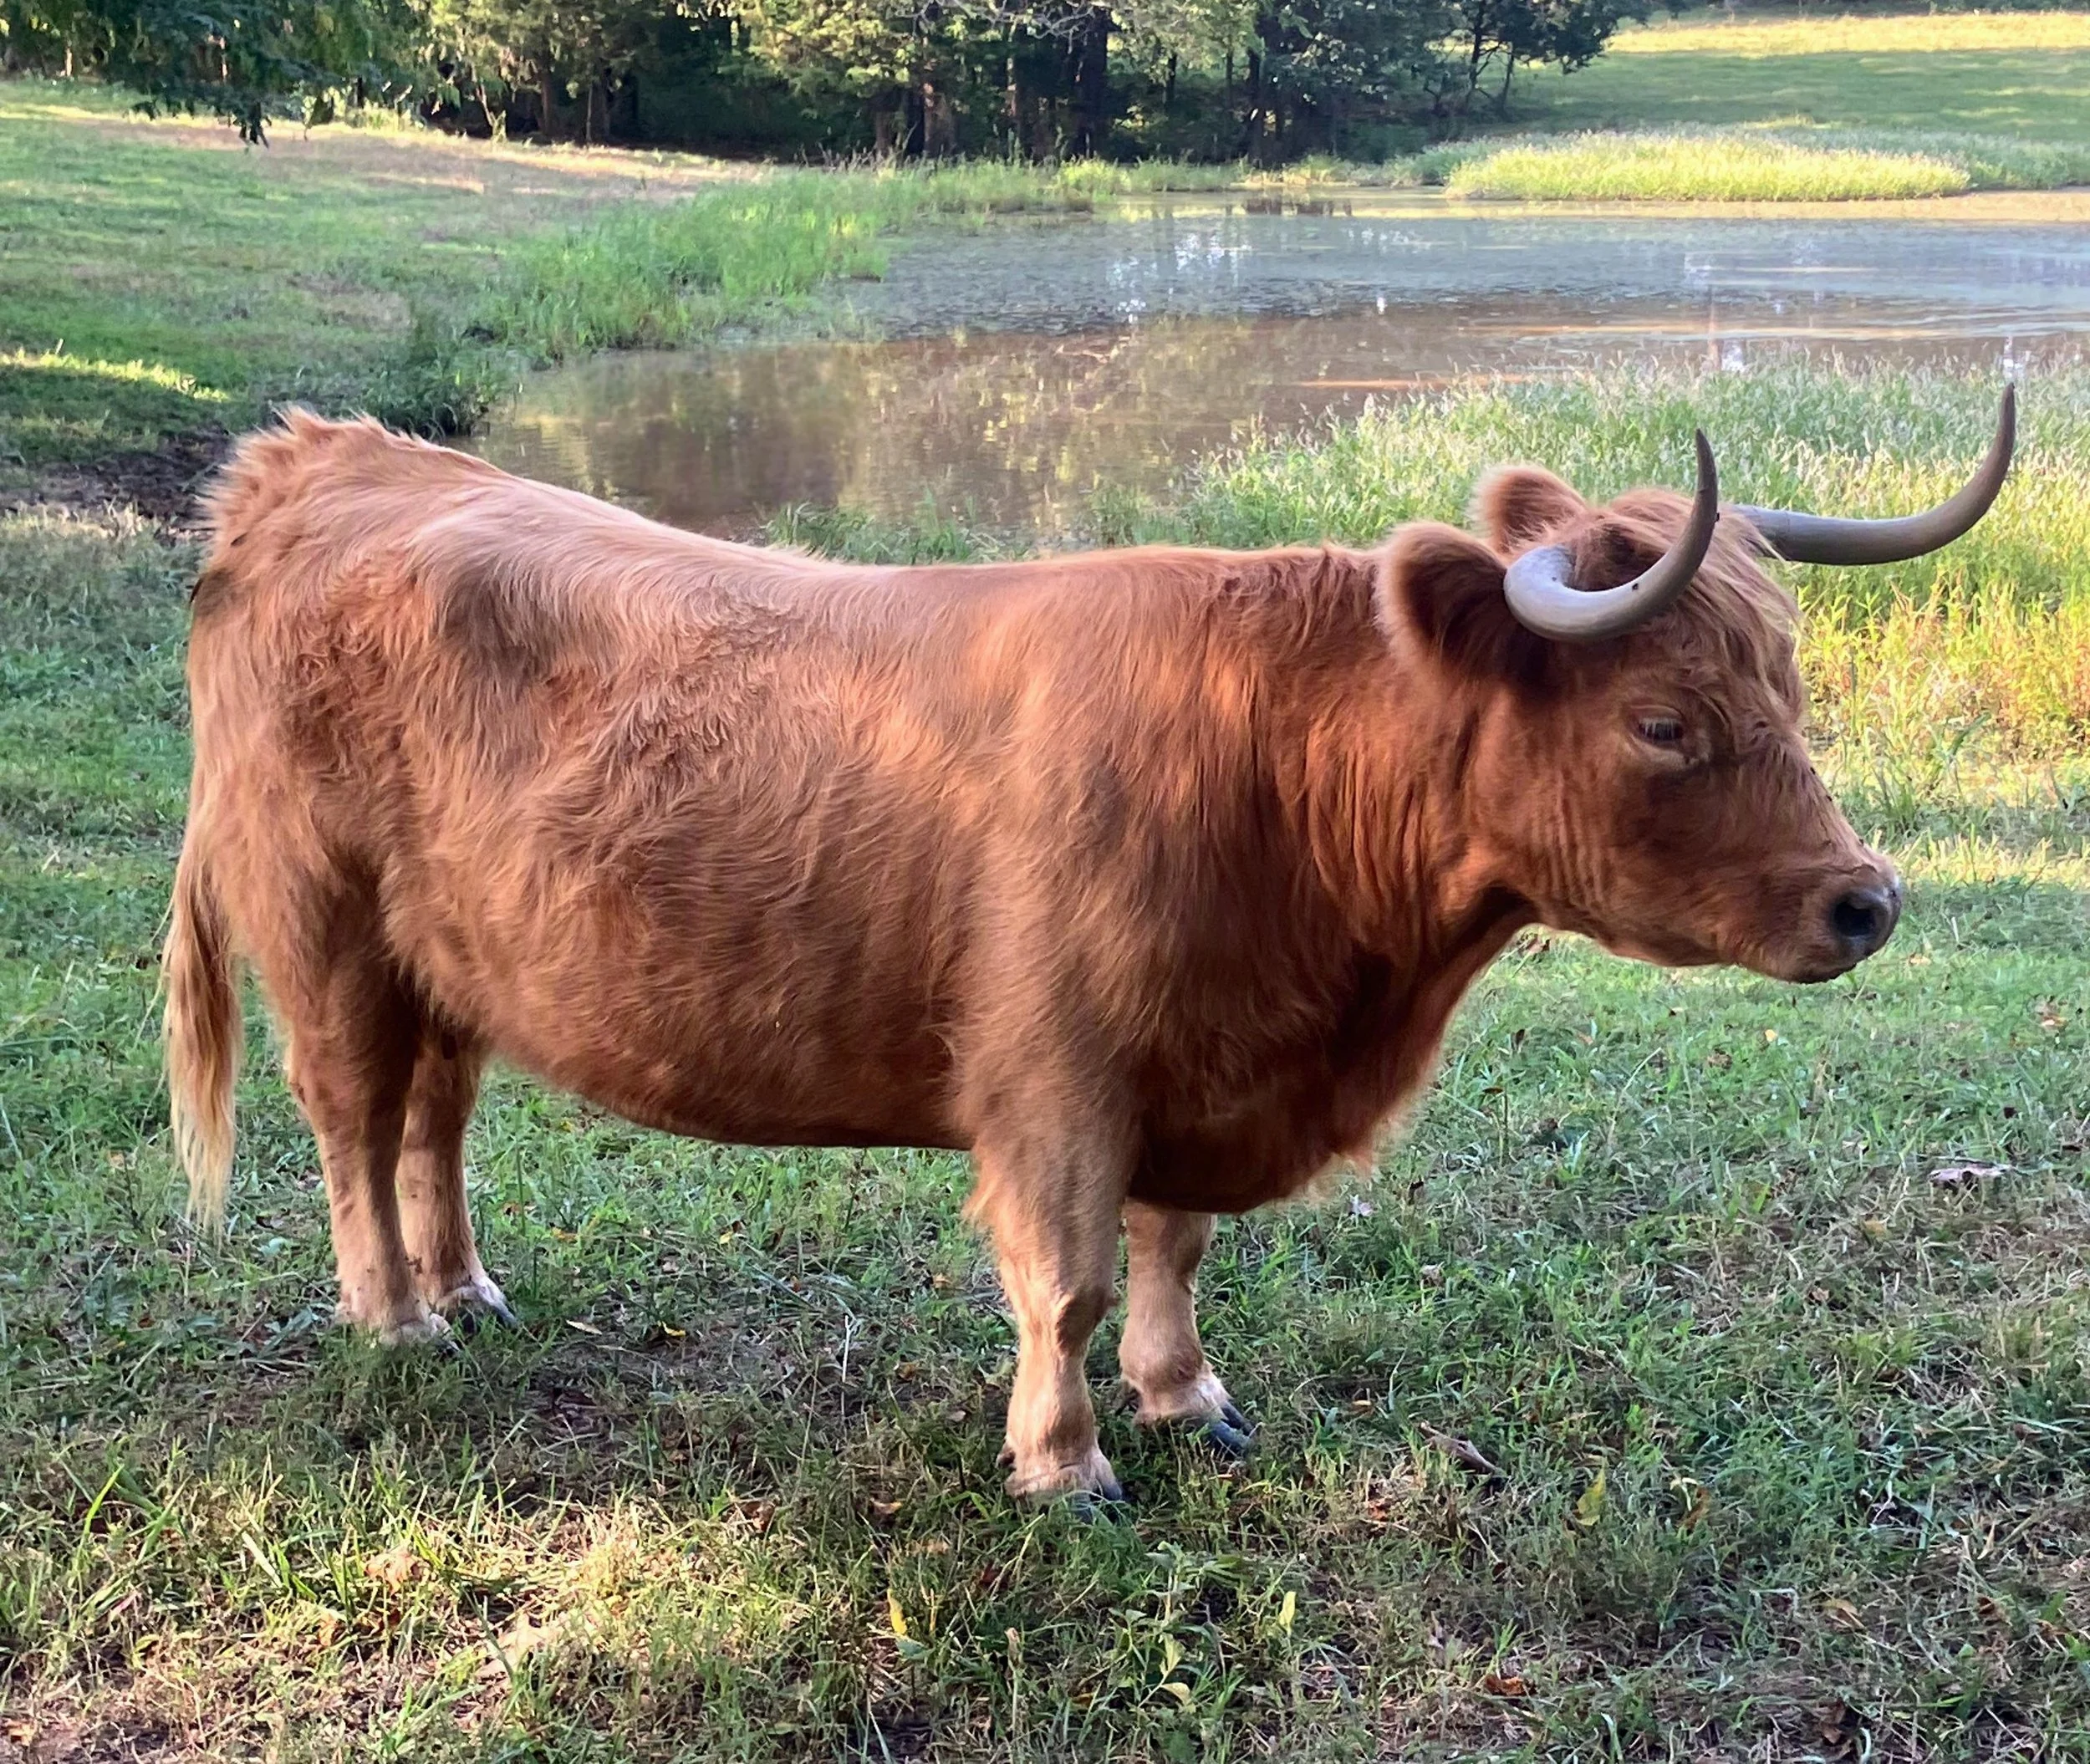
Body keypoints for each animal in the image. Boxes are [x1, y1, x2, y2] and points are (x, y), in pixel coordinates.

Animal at [163, 393, 2013, 1503]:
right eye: (1662, 722)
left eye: (1786, 683)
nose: (1866, 900)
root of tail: (325, 458)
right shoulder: (1054, 1072)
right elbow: (1061, 1276)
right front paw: (1064, 1463)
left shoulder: (1196, 1066)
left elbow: (1173, 1250)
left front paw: (1183, 1396)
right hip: (325, 928)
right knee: (349, 1123)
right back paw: (396, 1323)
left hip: (454, 958)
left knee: (434, 1120)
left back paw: (466, 1285)